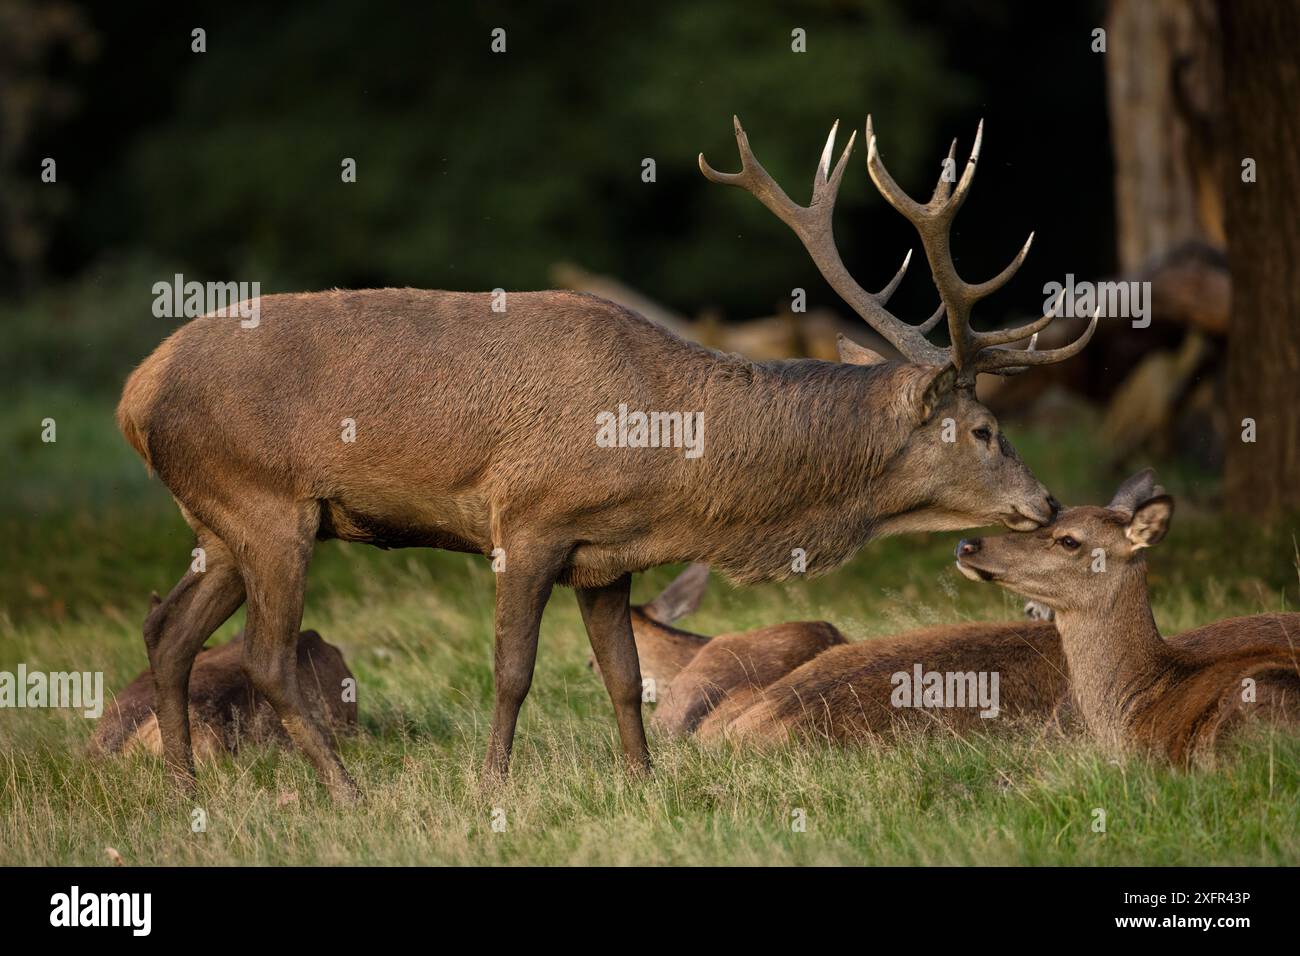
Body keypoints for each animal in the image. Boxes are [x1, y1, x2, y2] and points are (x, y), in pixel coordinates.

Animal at [116, 113, 1094, 800]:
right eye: (984, 430)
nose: (1045, 504)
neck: (670, 462)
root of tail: (134, 395)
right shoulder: (526, 521)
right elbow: (513, 672)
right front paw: (493, 787)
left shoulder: (606, 555)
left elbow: (625, 678)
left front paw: (644, 782)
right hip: (266, 503)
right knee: (265, 656)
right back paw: (347, 793)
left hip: (223, 523)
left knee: (168, 633)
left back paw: (184, 790)